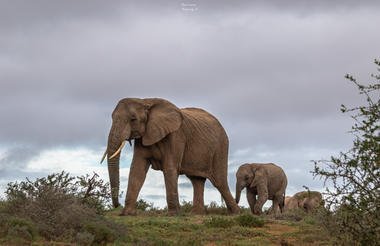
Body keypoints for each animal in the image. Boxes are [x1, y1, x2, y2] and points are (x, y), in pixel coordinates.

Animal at [99, 97, 239, 215]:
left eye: (133, 119)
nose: (117, 205)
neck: (145, 101)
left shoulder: (176, 136)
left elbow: (169, 168)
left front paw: (173, 215)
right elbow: (137, 170)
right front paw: (127, 214)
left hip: (221, 147)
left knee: (219, 182)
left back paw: (236, 213)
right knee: (196, 181)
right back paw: (197, 214)